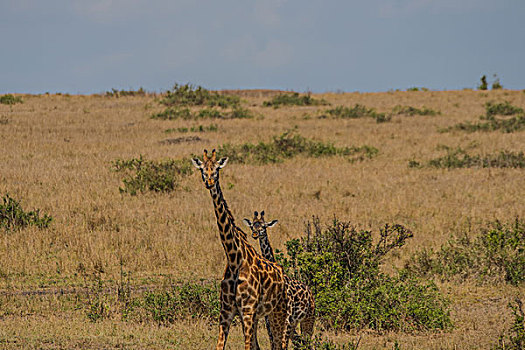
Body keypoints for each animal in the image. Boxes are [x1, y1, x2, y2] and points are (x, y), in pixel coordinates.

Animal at [191, 150, 292, 350]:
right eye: (202, 169)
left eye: (216, 169)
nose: (209, 182)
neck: (234, 259)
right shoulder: (226, 312)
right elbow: (221, 346)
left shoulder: (247, 310)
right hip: (261, 315)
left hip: (279, 311)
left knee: (281, 343)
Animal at [243, 209, 314, 348]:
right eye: (252, 225)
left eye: (264, 226)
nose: (255, 234)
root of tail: (310, 292)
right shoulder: (269, 321)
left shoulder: (286, 319)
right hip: (294, 324)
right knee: (299, 342)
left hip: (308, 319)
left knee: (306, 343)